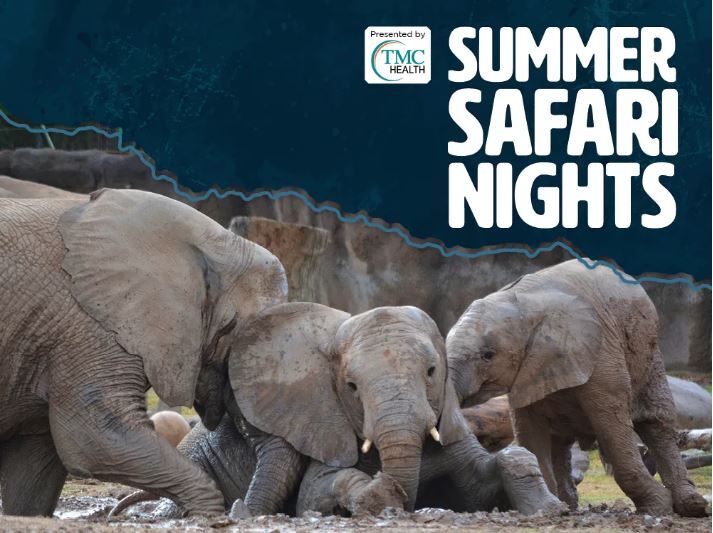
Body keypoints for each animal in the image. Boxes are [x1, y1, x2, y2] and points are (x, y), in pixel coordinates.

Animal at [0, 188, 287, 516]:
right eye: (232, 332)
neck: (213, 242)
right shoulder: (88, 325)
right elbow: (93, 440)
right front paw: (207, 516)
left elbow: (34, 470)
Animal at [446, 259, 709, 517]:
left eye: (487, 355)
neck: (522, 304)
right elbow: (529, 431)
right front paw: (551, 507)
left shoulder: (601, 352)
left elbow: (611, 426)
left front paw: (657, 508)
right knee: (560, 439)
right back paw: (568, 504)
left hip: (648, 351)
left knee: (656, 424)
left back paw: (692, 506)